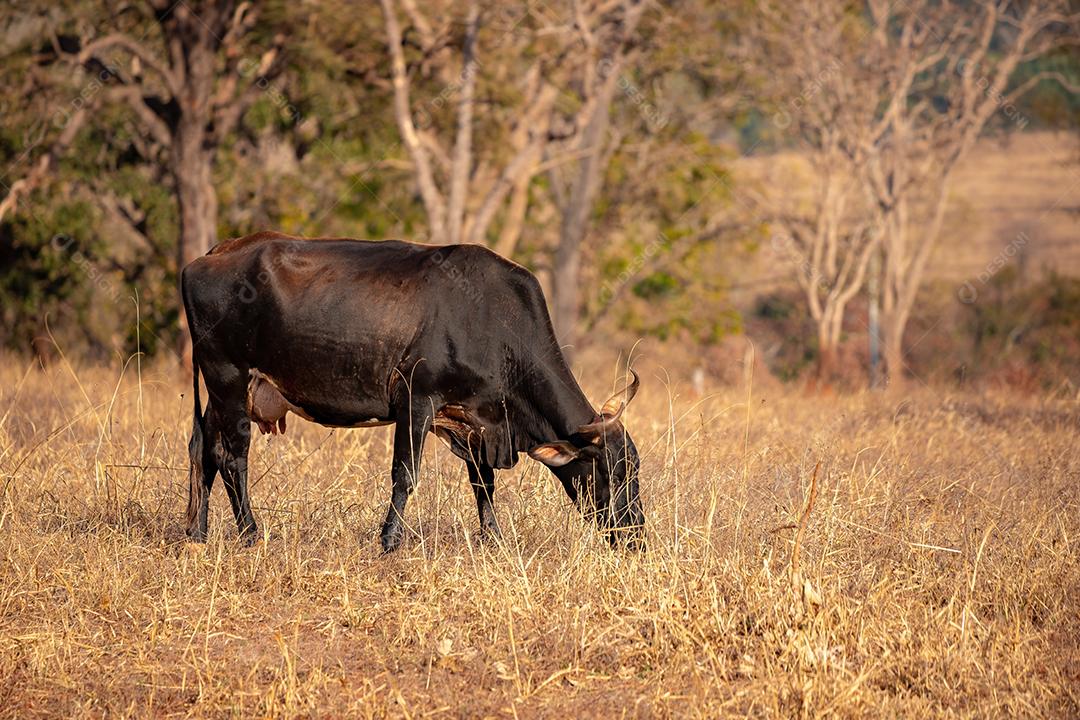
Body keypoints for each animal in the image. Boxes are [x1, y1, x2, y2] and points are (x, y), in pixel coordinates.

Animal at [180, 231, 644, 552]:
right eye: (613, 471)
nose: (636, 534)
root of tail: (214, 252)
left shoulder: (473, 422)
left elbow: (484, 483)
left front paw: (492, 539)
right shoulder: (415, 400)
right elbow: (405, 474)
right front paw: (389, 540)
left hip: (222, 392)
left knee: (203, 449)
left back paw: (196, 533)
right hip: (228, 378)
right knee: (232, 457)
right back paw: (250, 534)